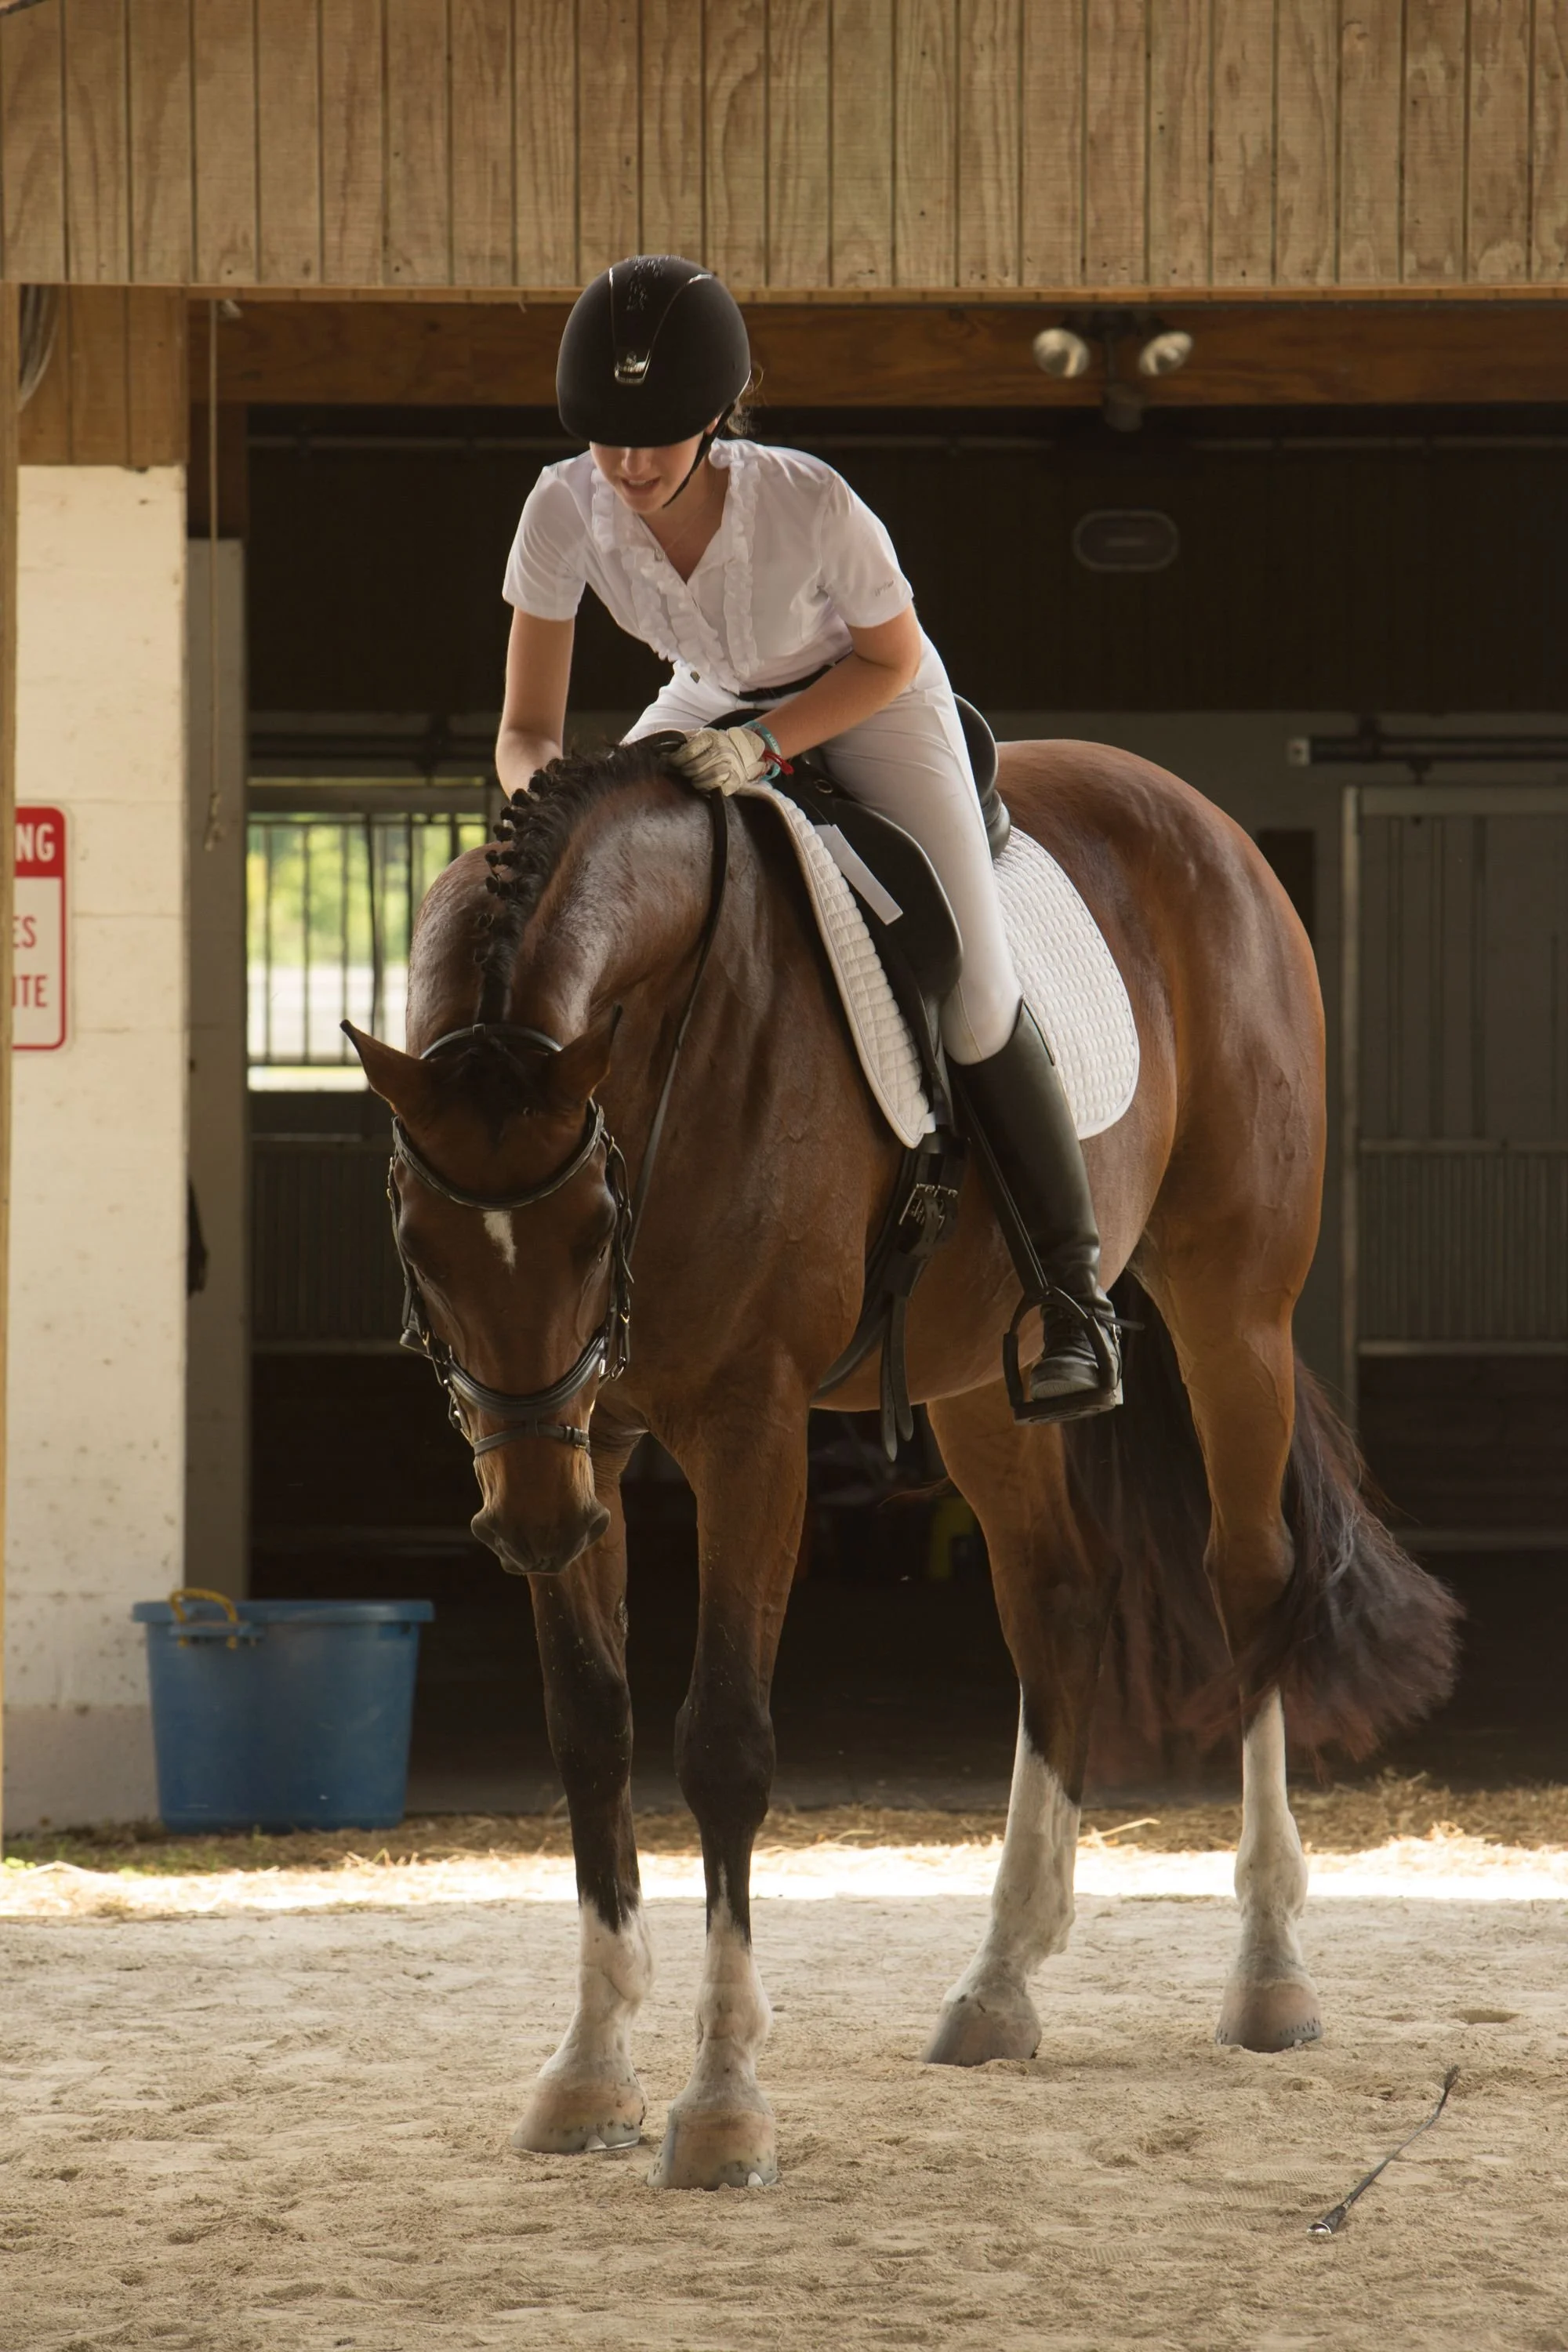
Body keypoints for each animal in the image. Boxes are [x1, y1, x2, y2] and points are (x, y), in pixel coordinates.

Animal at [346, 734, 1457, 2192]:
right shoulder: (591, 1435)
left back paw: (1269, 1973)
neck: (666, 1041)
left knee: (1252, 1585)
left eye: (593, 1228)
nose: (531, 1525)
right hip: (981, 1378)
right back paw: (999, 1983)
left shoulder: (751, 1428)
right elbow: (591, 1730)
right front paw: (587, 2076)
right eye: (418, 1240)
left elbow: (724, 1743)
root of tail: (1197, 811)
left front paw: (723, 2104)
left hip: (1237, 1308)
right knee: (1057, 1597)